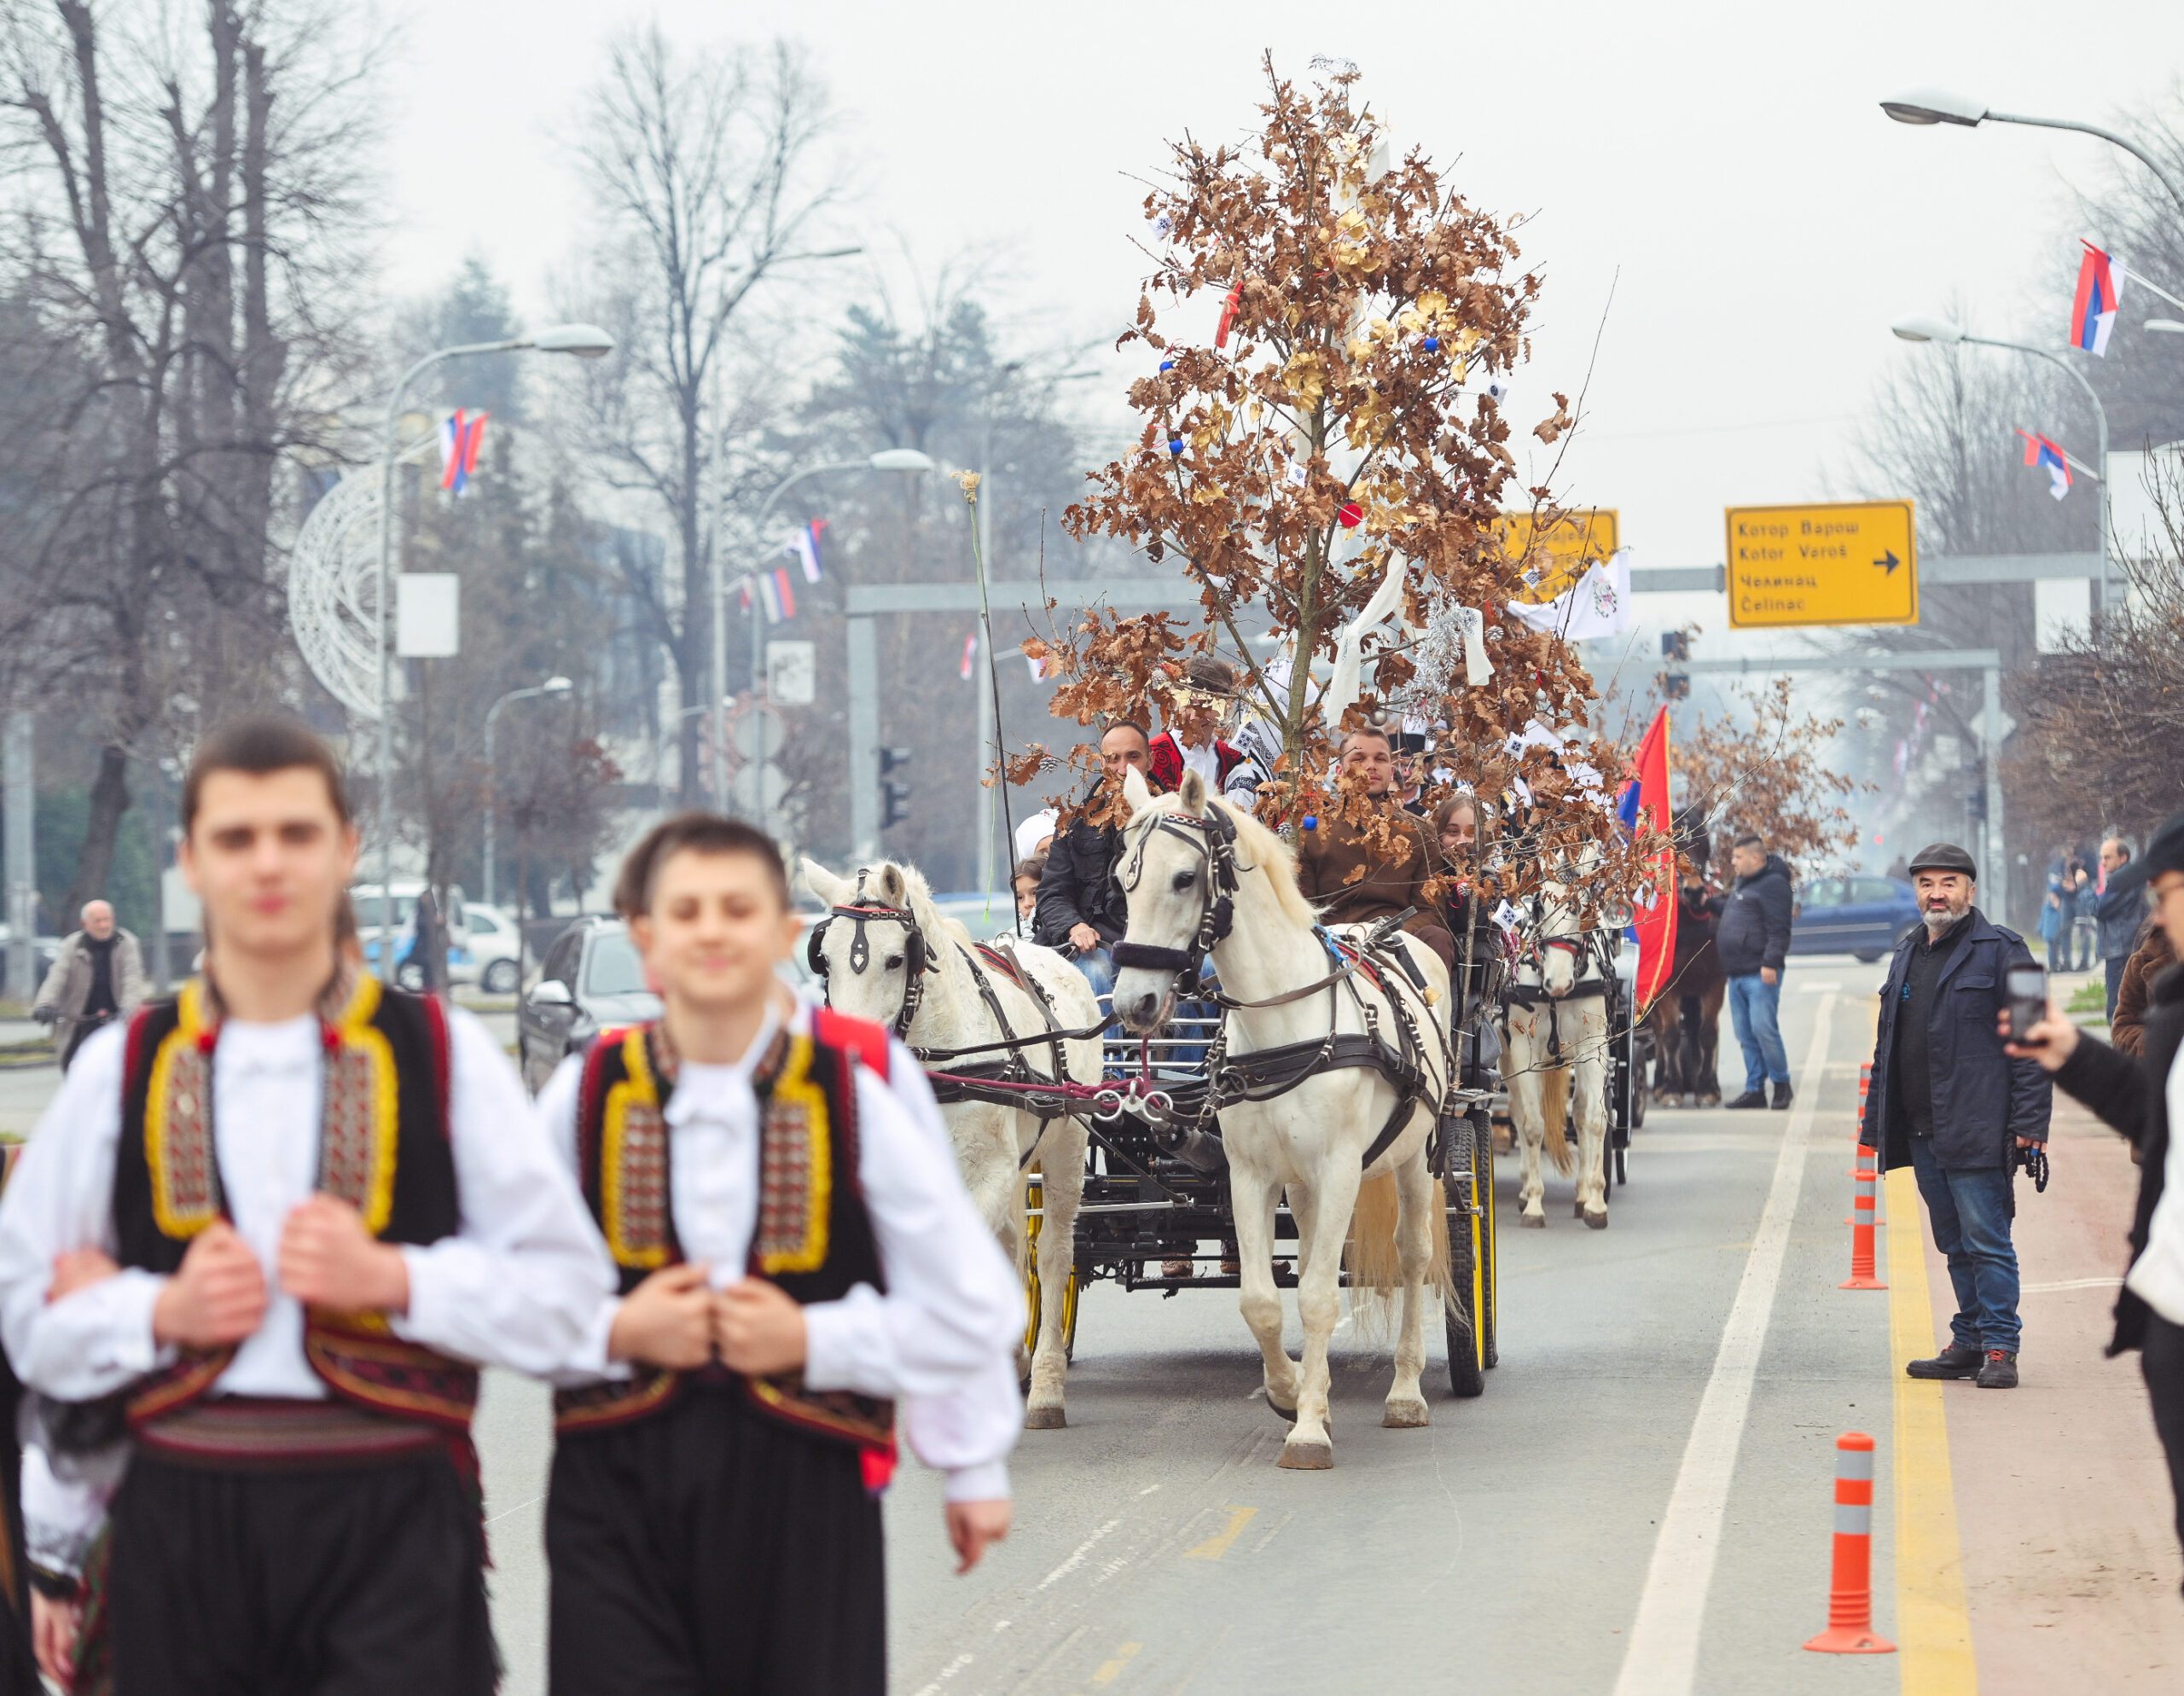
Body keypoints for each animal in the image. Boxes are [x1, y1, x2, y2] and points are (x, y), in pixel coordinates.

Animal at [804, 860, 1101, 1432]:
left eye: (897, 959)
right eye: (823, 961)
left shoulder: (986, 1172)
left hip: (1066, 1146)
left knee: (1052, 1254)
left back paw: (1045, 1387)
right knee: (1012, 1246)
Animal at [1109, 772, 1449, 1467]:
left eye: (1184, 878)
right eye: (1122, 880)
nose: (1133, 1002)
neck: (1283, 1020)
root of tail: (1390, 934)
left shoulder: (1342, 1166)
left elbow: (1318, 1297)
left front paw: (1310, 1431)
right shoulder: (1253, 1175)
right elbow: (1263, 1300)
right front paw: (1292, 1394)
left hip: (1413, 1157)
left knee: (1412, 1256)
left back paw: (1406, 1391)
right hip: (1306, 1182)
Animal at [1502, 873, 1624, 1231]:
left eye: (1581, 907)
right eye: (1540, 906)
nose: (1558, 983)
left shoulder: (1594, 1044)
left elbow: (1595, 1118)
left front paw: (1595, 1202)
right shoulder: (1523, 1049)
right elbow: (1533, 1126)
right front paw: (1534, 1206)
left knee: (1581, 1111)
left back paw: (1582, 1193)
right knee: (1517, 1111)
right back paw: (1525, 1191)